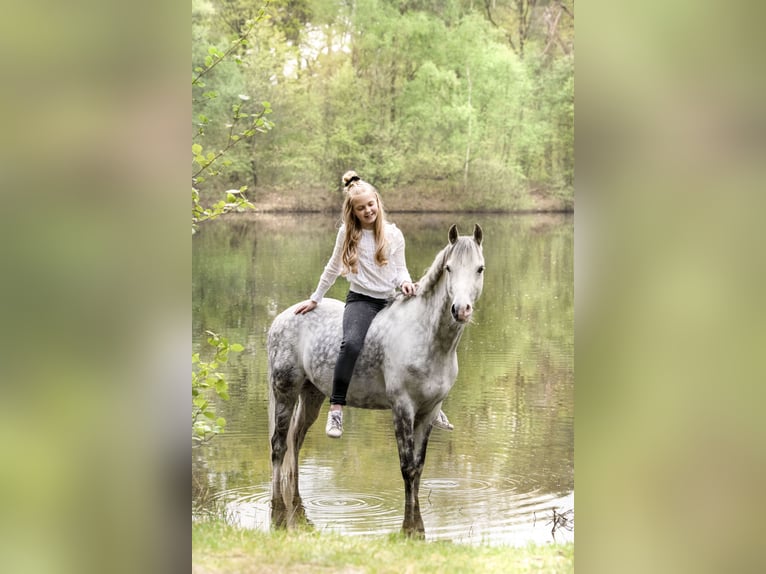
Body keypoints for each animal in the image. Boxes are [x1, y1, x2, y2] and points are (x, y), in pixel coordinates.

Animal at [268, 224, 486, 536]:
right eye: (449, 268)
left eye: (479, 268)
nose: (461, 309)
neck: (425, 336)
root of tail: (283, 317)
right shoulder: (403, 408)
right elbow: (407, 466)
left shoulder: (428, 412)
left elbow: (419, 467)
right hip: (284, 392)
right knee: (279, 446)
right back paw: (277, 499)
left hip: (311, 395)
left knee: (295, 441)